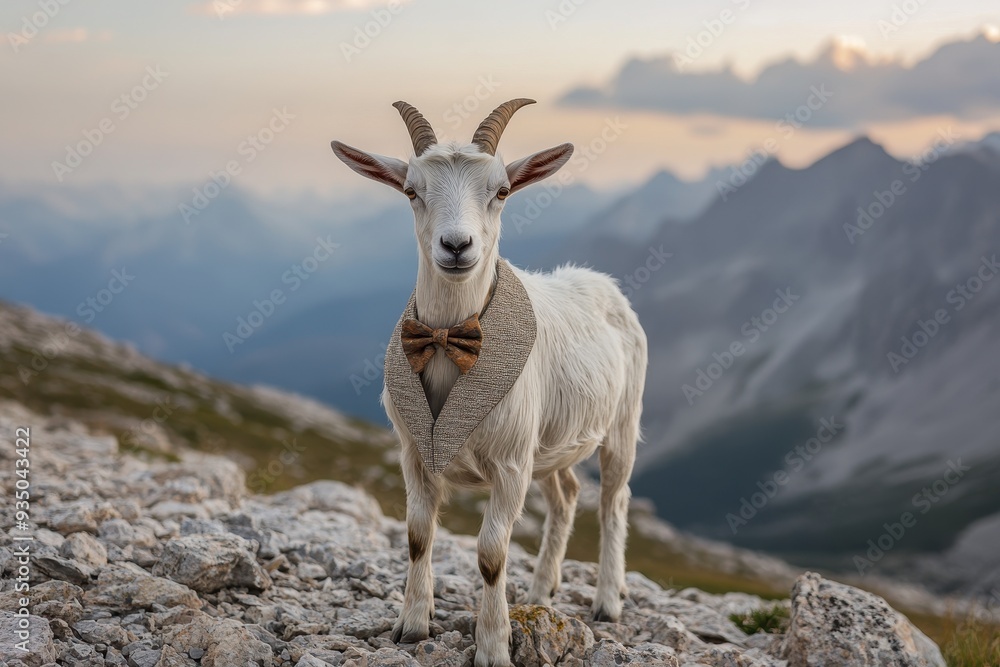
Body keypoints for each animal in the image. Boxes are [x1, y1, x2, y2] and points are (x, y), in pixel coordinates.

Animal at [331, 99, 647, 667]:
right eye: (411, 190)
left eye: (501, 191)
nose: (457, 246)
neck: (447, 343)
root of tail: (601, 282)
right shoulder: (414, 453)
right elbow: (417, 535)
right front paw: (411, 625)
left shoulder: (510, 463)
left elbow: (491, 554)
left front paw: (494, 645)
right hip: (548, 444)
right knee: (566, 495)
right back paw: (542, 592)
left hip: (621, 424)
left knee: (614, 500)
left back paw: (608, 601)